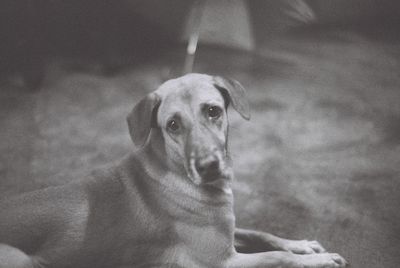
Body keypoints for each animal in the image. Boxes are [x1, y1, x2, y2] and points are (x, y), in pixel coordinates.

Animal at [0, 74, 346, 268]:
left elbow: (261, 233)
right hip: (22, 259)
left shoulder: (225, 232)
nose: (208, 167)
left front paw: (302, 245)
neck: (174, 169)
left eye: (213, 111)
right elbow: (279, 258)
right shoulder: (223, 262)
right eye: (173, 125)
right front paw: (320, 261)